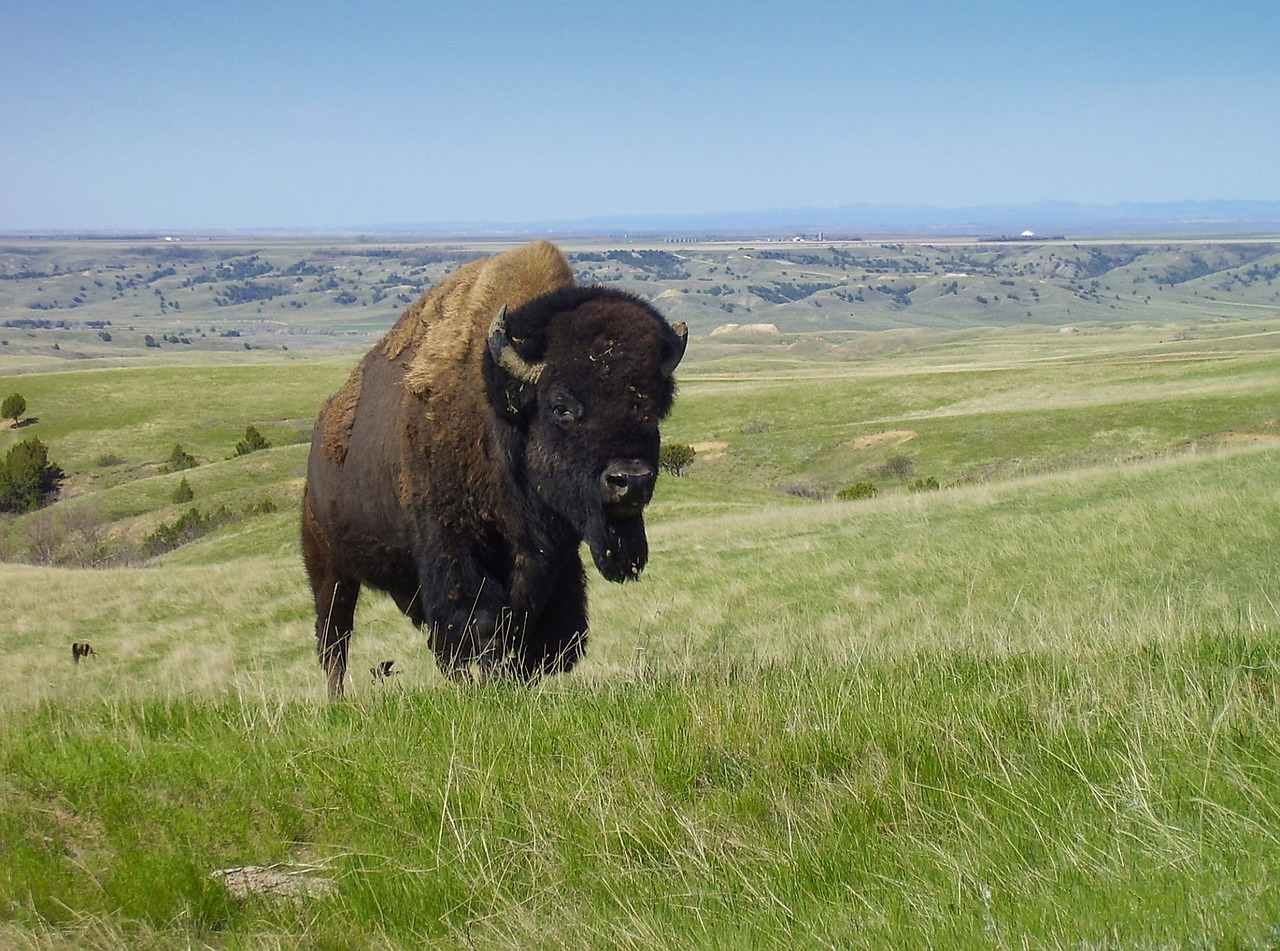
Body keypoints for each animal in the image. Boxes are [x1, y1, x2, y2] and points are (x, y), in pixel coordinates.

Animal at [302, 240, 686, 696]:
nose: (630, 480)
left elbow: (534, 628)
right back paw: (336, 699)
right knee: (334, 639)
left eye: (652, 406)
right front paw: (488, 682)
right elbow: (480, 622)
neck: (500, 416)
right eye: (561, 406)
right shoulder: (453, 546)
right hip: (328, 566)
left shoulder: (548, 560)